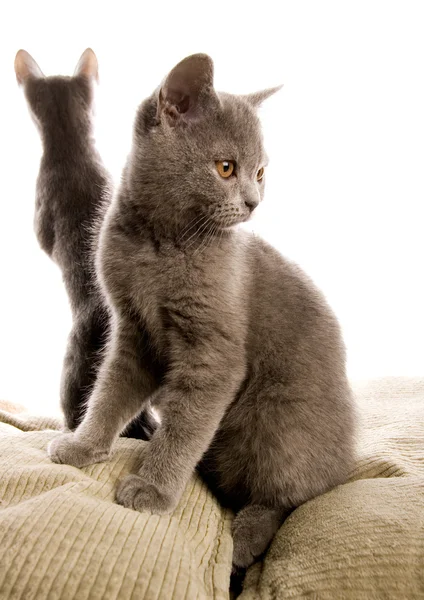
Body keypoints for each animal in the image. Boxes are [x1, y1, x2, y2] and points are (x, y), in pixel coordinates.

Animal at [48, 54, 356, 568]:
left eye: (260, 172)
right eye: (226, 168)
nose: (253, 202)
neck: (158, 243)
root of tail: (348, 465)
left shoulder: (213, 355)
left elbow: (186, 426)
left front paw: (152, 489)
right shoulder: (133, 331)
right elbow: (109, 393)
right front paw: (83, 446)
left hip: (278, 422)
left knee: (288, 499)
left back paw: (244, 538)